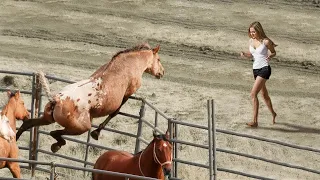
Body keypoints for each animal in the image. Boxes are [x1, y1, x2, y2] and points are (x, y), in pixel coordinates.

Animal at [15, 43, 165, 153]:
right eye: (158, 60)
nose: (162, 72)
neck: (130, 63)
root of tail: (56, 100)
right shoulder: (129, 92)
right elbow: (115, 112)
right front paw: (96, 133)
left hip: (47, 119)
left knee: (28, 124)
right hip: (80, 127)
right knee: (55, 133)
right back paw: (56, 146)